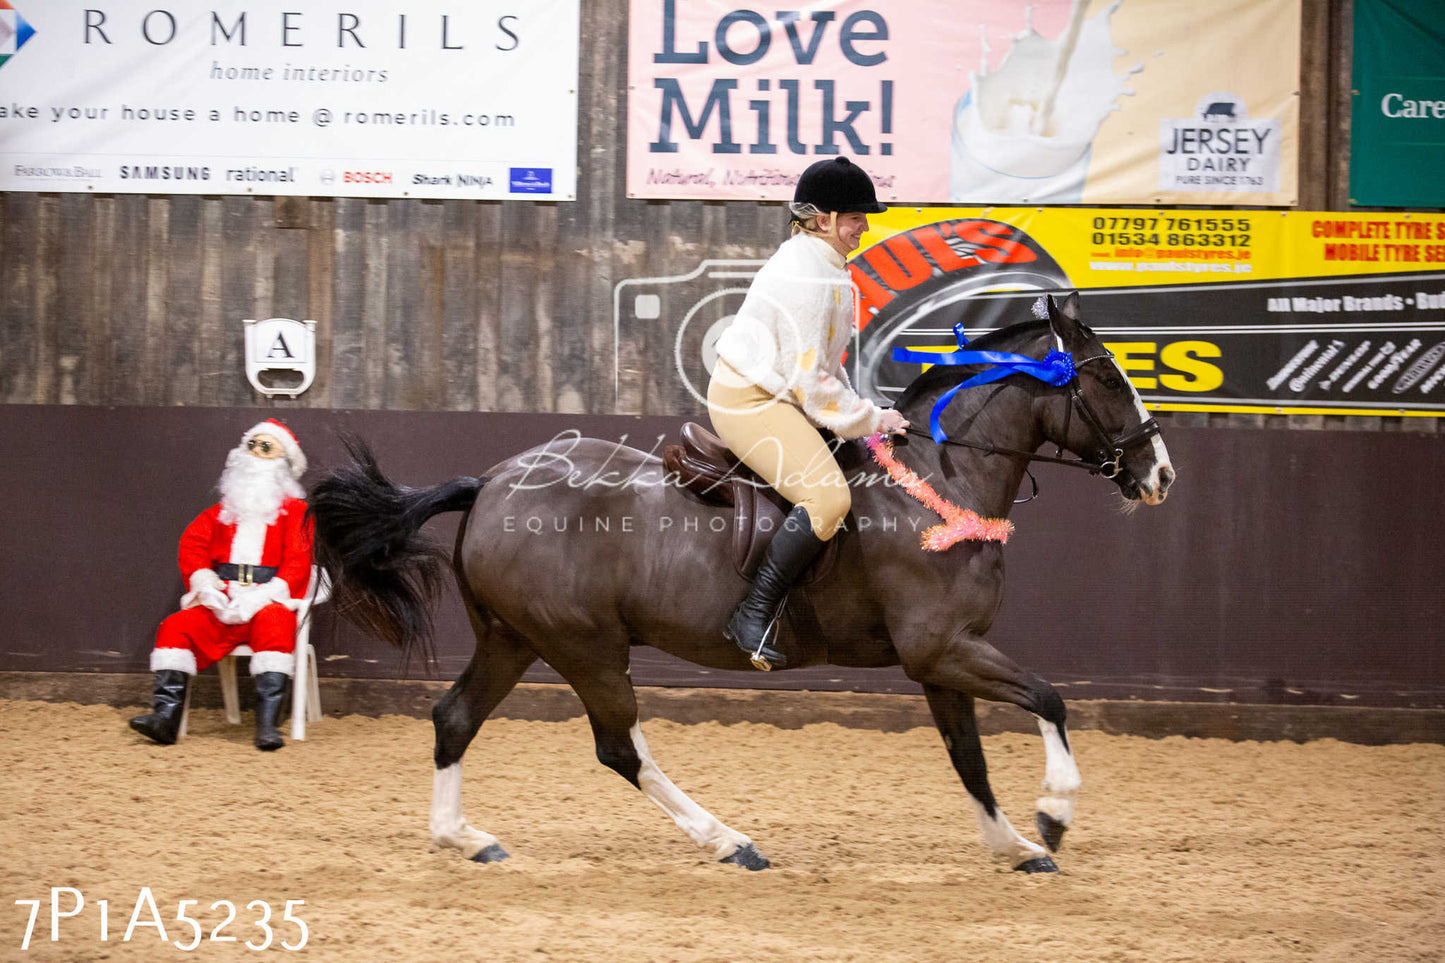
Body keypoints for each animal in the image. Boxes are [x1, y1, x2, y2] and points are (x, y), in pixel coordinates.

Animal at [307, 290, 1173, 867]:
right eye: (1104, 377)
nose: (1159, 473)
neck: (938, 479)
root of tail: (489, 483)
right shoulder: (939, 649)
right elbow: (1048, 698)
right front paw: (1053, 811)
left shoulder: (943, 660)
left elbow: (970, 756)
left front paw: (1014, 841)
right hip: (584, 644)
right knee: (618, 747)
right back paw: (727, 839)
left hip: (514, 636)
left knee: (455, 717)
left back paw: (464, 835)